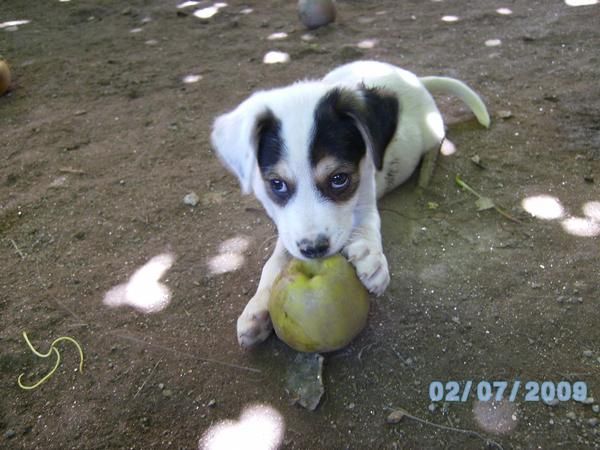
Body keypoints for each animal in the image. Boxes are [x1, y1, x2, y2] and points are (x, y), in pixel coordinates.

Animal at [210, 59, 488, 348]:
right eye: (277, 184)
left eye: (339, 179)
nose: (314, 250)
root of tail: (414, 79)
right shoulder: (287, 229)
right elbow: (274, 261)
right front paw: (256, 309)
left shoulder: (365, 191)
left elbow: (368, 222)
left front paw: (371, 256)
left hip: (432, 130)